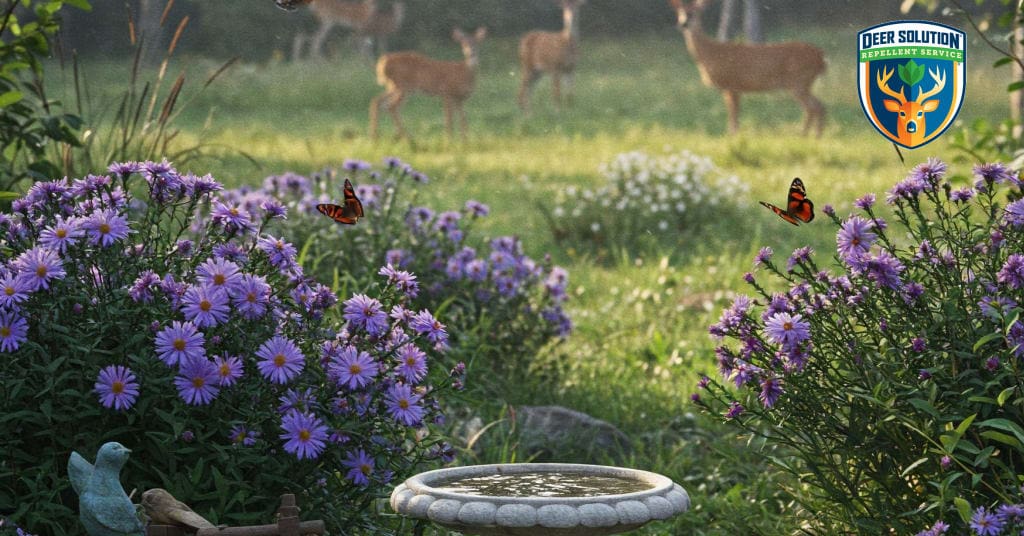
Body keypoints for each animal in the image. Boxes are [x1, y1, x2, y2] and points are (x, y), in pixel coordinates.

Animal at [668, 0, 826, 136]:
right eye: (680, 12)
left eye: (694, 12)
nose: (683, 23)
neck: (710, 54)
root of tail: (821, 57)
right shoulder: (734, 88)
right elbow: (735, 115)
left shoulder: (731, 84)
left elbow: (733, 116)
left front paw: (732, 136)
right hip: (803, 83)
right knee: (818, 106)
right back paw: (813, 136)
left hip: (798, 81)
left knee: (814, 107)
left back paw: (806, 135)